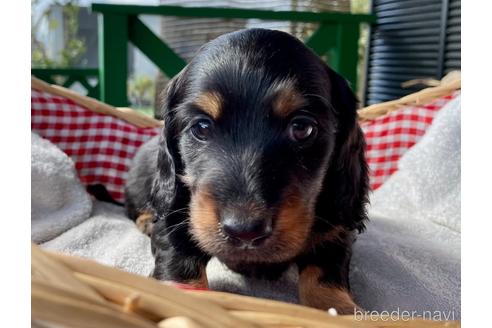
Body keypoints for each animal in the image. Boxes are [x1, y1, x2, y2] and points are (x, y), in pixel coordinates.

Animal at [125, 28, 368, 312]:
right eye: (201, 127)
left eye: (302, 127)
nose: (244, 231)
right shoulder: (175, 214)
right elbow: (179, 262)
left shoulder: (336, 230)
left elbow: (324, 274)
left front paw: (339, 310)